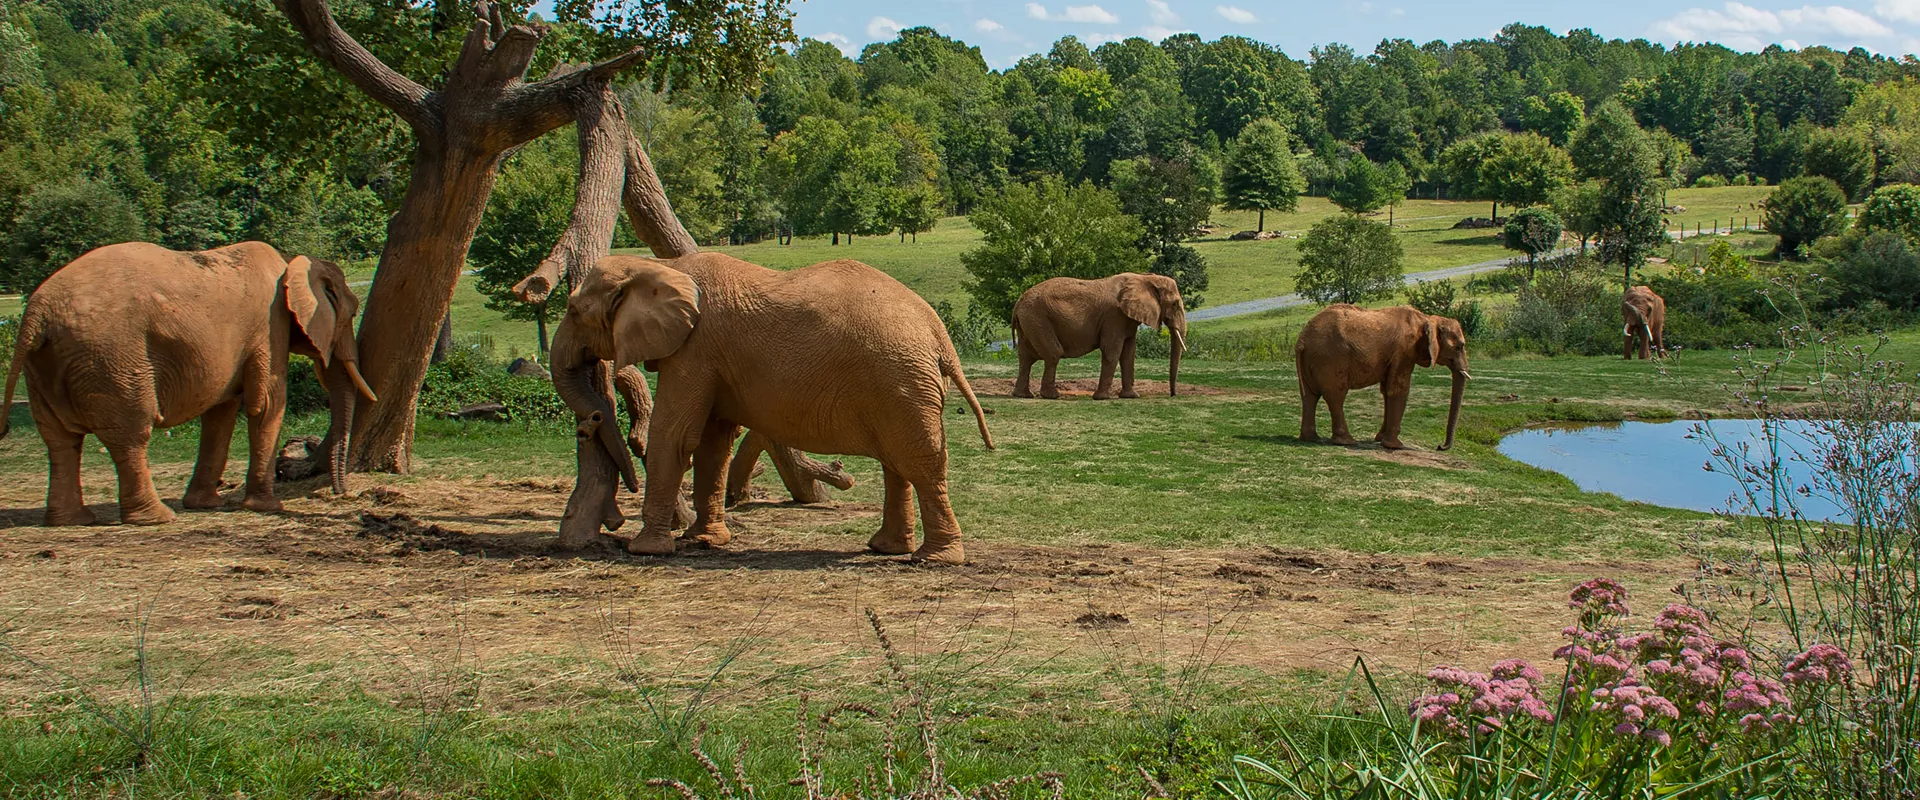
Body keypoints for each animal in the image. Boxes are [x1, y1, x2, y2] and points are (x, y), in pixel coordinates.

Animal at [1, 239, 374, 525]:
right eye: (353, 312)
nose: (341, 493)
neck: (290, 263)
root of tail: (37, 313)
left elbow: (221, 413)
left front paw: (206, 505)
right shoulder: (269, 329)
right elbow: (266, 403)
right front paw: (268, 507)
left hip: (46, 366)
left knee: (60, 440)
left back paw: (72, 521)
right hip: (111, 359)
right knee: (131, 434)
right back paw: (156, 518)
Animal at [545, 253, 983, 560]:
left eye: (573, 311)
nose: (591, 421)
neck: (659, 267)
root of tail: (939, 335)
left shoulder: (695, 351)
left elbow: (675, 435)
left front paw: (645, 549)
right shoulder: (712, 360)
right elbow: (713, 444)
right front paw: (704, 541)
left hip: (900, 379)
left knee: (917, 462)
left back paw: (934, 559)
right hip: (900, 385)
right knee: (896, 462)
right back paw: (886, 549)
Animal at [1006, 272, 1182, 399]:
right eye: (1175, 304)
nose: (1172, 395)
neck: (1145, 278)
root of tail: (1018, 303)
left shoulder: (1126, 319)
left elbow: (1128, 353)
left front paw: (1131, 396)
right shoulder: (1114, 316)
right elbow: (1112, 351)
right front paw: (1102, 398)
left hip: (1030, 321)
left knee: (1026, 357)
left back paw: (1023, 395)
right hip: (1038, 319)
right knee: (1053, 354)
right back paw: (1052, 396)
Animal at [1297, 303, 1474, 448]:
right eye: (1459, 347)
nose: (1439, 446)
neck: (1426, 319)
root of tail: (1301, 340)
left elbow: (1386, 391)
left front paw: (1380, 439)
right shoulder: (1404, 352)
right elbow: (1398, 390)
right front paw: (1395, 446)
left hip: (1314, 360)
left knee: (1310, 396)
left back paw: (1311, 439)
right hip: (1330, 359)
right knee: (1336, 396)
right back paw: (1347, 441)